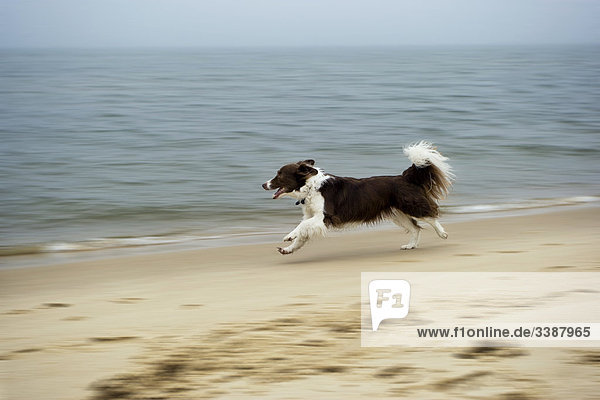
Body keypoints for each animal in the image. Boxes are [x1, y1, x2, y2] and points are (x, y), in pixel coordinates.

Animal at [260, 141, 452, 253]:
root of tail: (406, 177)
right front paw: (289, 248)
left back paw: (442, 233)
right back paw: (410, 245)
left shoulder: (325, 216)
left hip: (410, 205)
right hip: (398, 213)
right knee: (415, 228)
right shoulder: (312, 216)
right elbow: (303, 233)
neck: (311, 186)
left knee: (431, 215)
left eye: (279, 174)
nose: (263, 184)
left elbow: (301, 226)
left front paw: (288, 236)